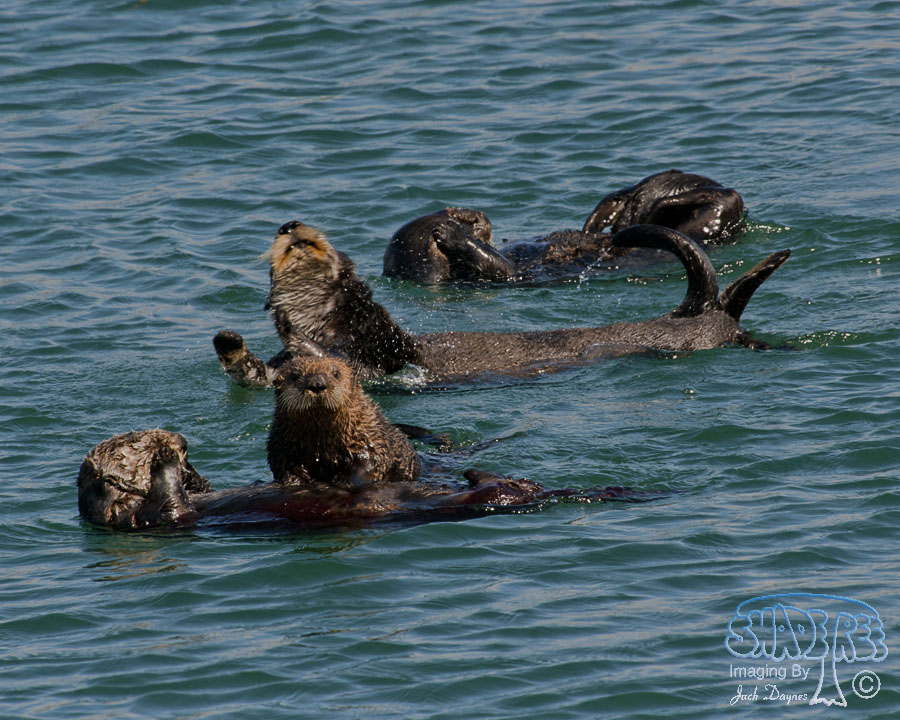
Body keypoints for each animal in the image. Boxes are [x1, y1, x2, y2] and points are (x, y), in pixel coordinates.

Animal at [213, 221, 789, 387]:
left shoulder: (385, 349)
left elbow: (376, 344)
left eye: (315, 240)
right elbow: (263, 371)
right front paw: (230, 342)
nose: (291, 227)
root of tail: (699, 311)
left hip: (698, 332)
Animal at [383, 169, 746, 283]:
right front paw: (452, 234)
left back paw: (607, 213)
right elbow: (499, 267)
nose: (474, 217)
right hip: (703, 224)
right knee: (723, 200)